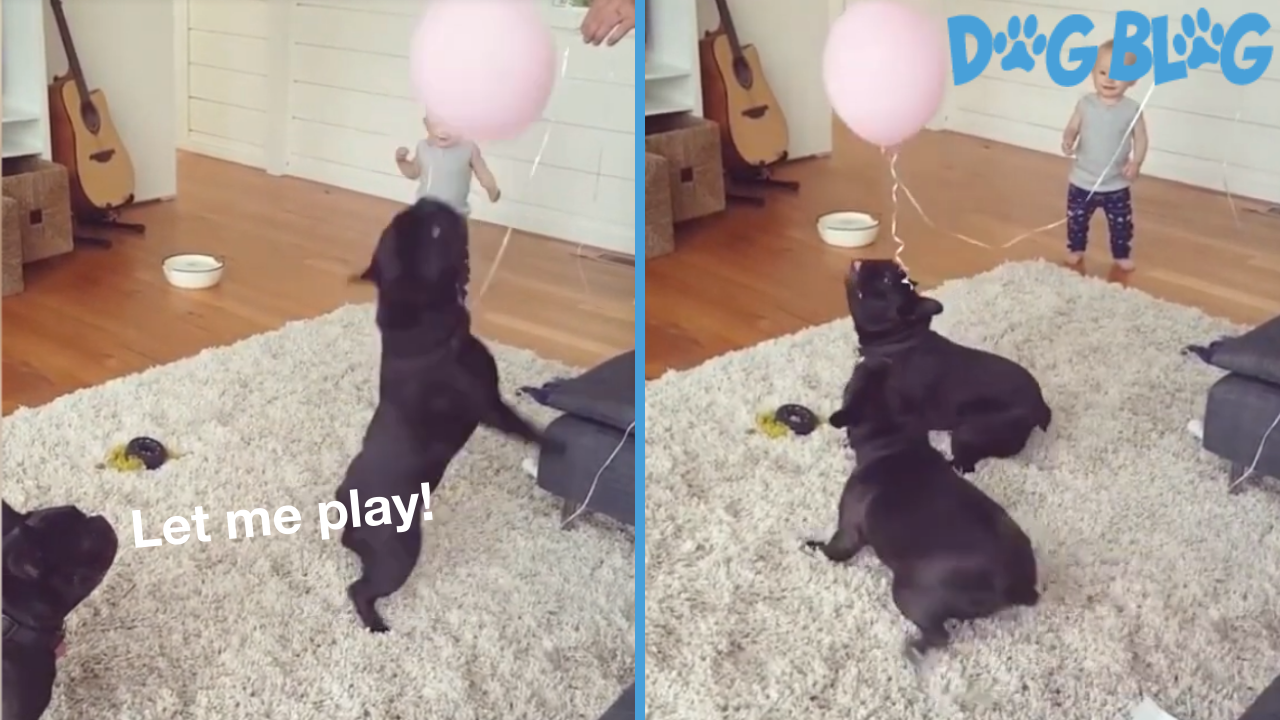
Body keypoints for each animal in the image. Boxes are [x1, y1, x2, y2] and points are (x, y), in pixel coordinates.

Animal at [337, 198, 552, 630]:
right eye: (437, 232)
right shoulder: (489, 404)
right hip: (400, 553)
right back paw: (377, 626)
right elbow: (522, 425)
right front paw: (552, 441)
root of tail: (346, 521)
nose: (429, 201)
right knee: (360, 590)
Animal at [808, 356, 1039, 666]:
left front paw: (812, 547)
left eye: (851, 382)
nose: (871, 358)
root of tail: (1016, 585)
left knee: (939, 636)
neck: (894, 440)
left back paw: (913, 649)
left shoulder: (847, 531)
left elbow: (833, 550)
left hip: (907, 592)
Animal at [839, 257, 1049, 471]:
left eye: (886, 280)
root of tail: (1040, 407)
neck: (896, 342)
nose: (866, 262)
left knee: (964, 463)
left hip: (970, 431)